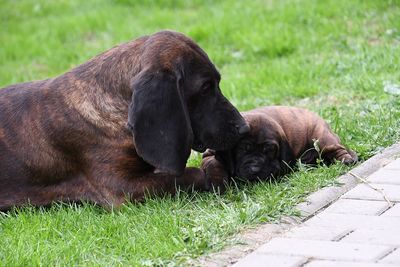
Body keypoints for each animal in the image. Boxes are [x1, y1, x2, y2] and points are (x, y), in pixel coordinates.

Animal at [203, 106, 356, 186]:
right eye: (243, 149)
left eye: (269, 150)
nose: (255, 169)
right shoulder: (209, 154)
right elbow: (213, 164)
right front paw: (219, 181)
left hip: (321, 136)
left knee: (338, 149)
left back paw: (346, 159)